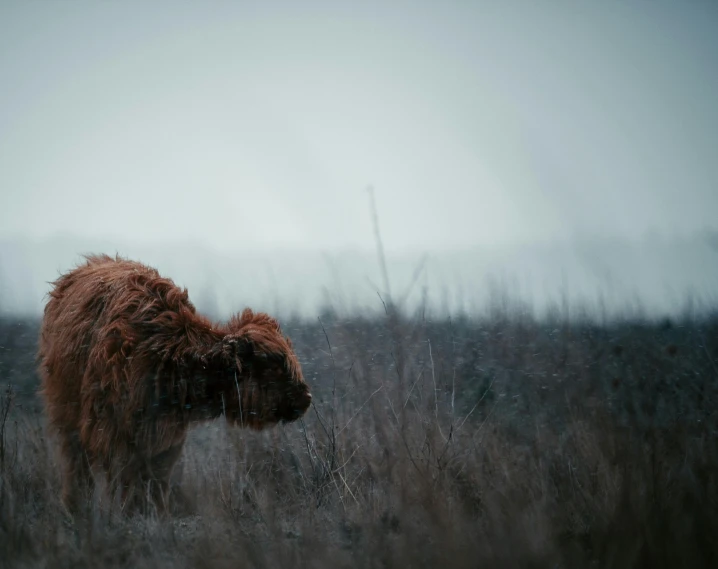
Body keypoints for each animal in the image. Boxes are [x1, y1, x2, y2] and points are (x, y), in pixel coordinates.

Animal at [38, 255, 310, 512]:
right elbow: (124, 480)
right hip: (67, 417)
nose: (306, 398)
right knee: (76, 466)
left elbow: (156, 483)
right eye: (272, 364)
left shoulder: (165, 440)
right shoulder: (113, 432)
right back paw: (76, 508)